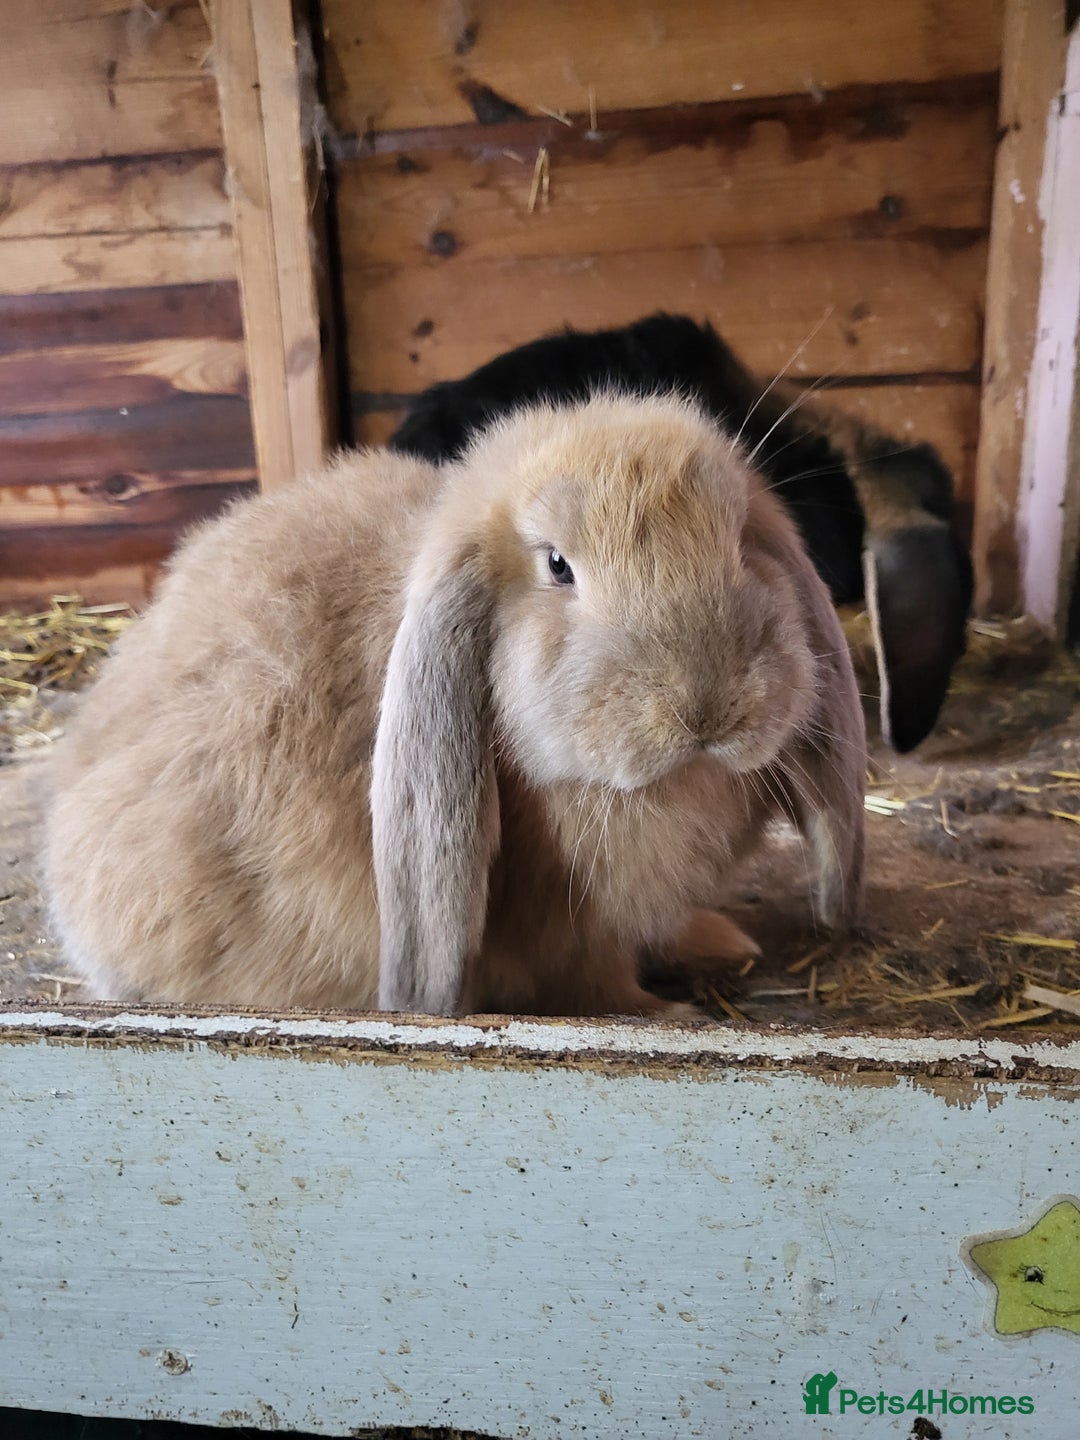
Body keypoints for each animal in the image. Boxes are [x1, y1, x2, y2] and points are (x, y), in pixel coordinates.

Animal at [44, 392, 865, 1018]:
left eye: (739, 542)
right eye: (558, 566)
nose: (706, 709)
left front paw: (722, 943)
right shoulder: (570, 936)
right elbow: (600, 987)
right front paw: (670, 1013)